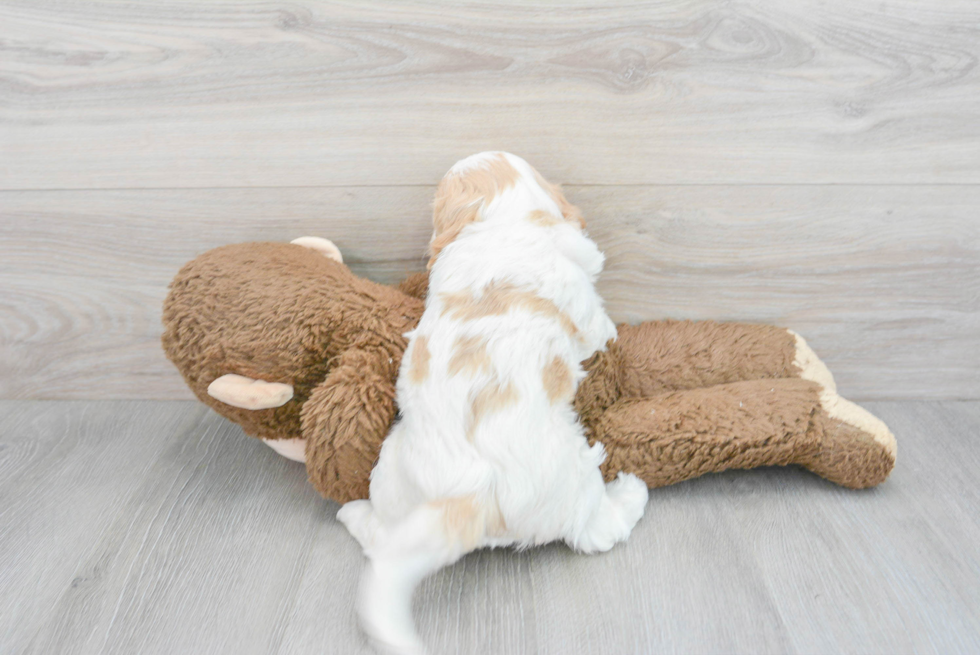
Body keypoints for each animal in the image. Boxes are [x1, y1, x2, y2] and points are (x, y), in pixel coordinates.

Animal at [336, 152, 652, 652]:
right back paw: (629, 494)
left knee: (385, 539)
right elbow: (599, 327)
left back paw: (353, 514)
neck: (502, 222)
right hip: (573, 473)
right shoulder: (585, 309)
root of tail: (472, 492)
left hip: (392, 469)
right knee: (594, 531)